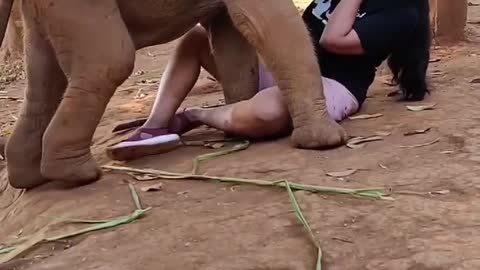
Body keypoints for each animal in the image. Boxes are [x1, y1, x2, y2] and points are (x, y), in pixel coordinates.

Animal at [0, 0, 344, 189]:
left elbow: (231, 35)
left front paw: (238, 133)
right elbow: (264, 21)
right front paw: (327, 142)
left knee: (45, 76)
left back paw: (33, 177)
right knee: (110, 61)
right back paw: (78, 173)